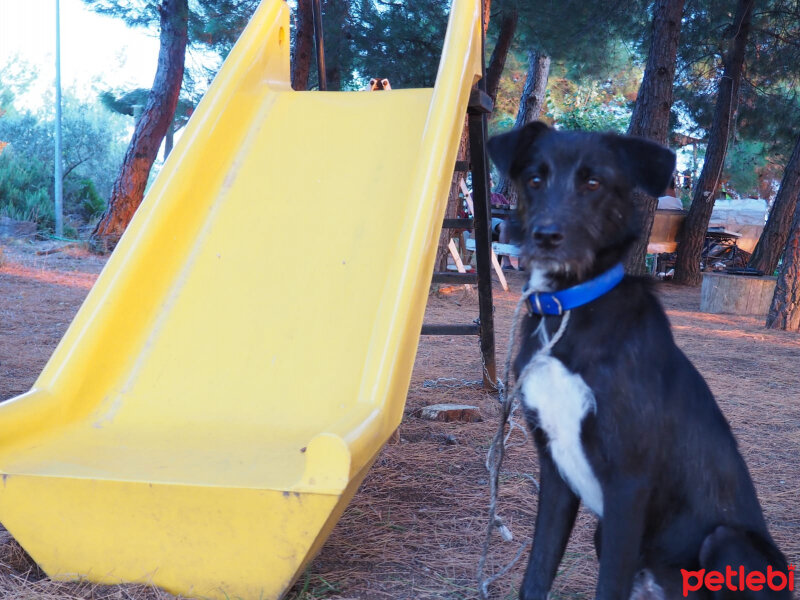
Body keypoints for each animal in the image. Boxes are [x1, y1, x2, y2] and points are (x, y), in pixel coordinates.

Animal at [484, 123, 792, 600]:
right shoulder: (554, 472)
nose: (545, 237)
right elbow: (535, 575)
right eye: (534, 179)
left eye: (593, 183)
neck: (568, 309)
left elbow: (608, 584)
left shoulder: (627, 484)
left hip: (727, 541)